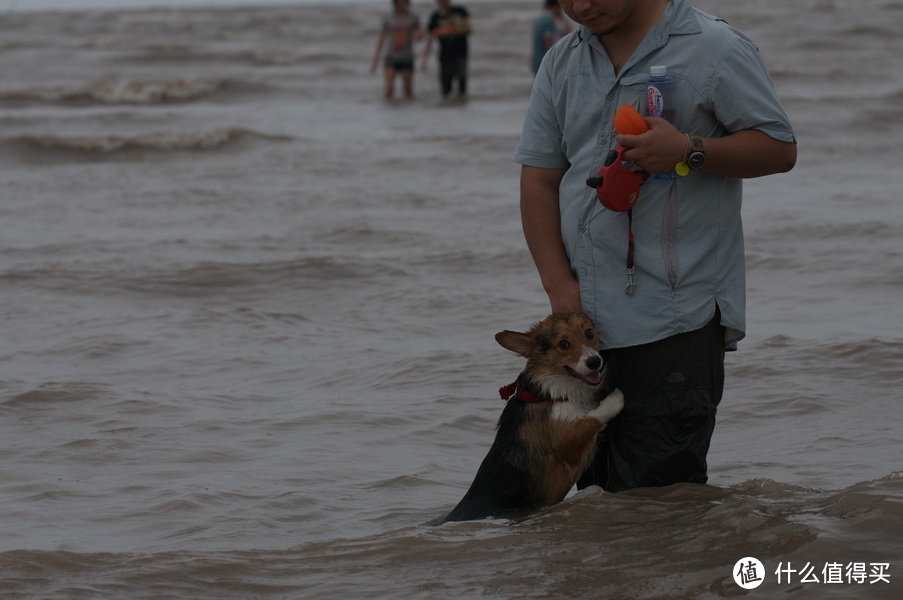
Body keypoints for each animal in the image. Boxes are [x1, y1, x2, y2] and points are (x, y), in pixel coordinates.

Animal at [444, 312, 624, 524]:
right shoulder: (567, 447)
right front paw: (615, 400)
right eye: (563, 344)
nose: (595, 361)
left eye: (589, 333)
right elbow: (591, 419)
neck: (556, 392)